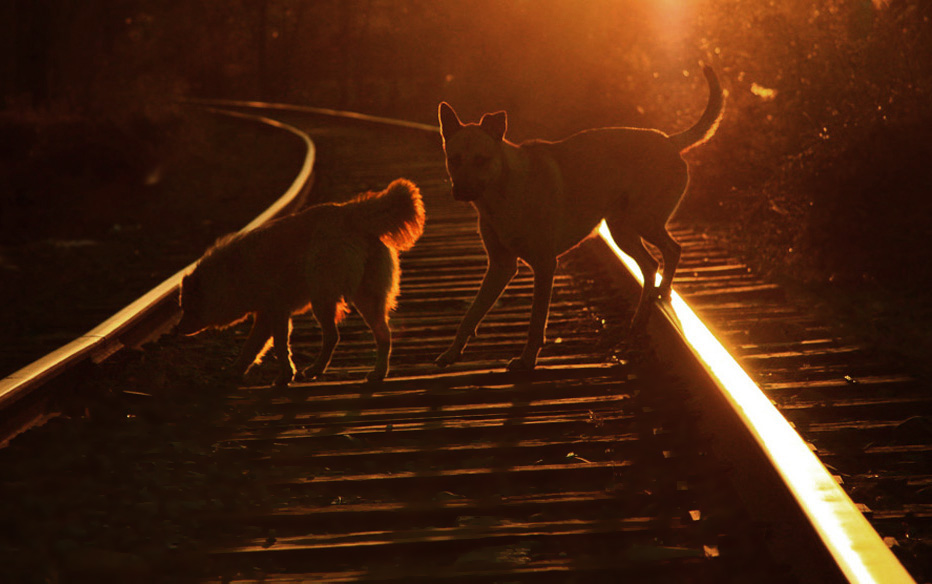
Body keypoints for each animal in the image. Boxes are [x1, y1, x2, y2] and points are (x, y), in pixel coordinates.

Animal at [177, 180, 426, 386]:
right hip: (366, 298)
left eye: (188, 306)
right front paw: (236, 371)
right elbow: (254, 347)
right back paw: (377, 373)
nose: (178, 329)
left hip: (322, 296)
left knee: (333, 336)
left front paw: (284, 376)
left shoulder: (276, 311)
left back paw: (315, 370)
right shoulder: (268, 314)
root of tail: (350, 211)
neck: (229, 274)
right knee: (383, 335)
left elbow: (276, 346)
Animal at [436, 66, 728, 372]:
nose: (460, 191)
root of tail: (670, 141)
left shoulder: (544, 265)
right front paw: (452, 352)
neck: (502, 192)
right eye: (454, 159)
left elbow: (536, 322)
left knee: (672, 250)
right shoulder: (500, 266)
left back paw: (663, 292)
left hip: (642, 221)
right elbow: (471, 314)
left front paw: (527, 361)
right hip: (622, 231)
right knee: (650, 265)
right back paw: (641, 314)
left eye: (481, 160)